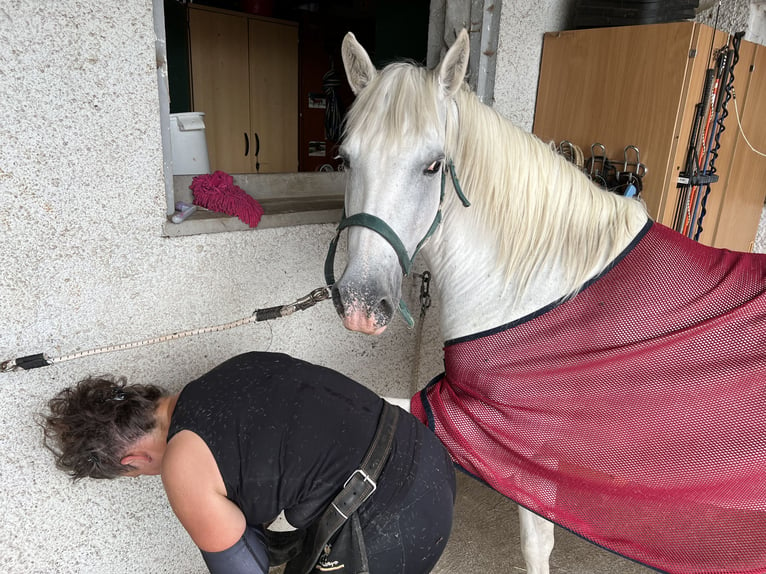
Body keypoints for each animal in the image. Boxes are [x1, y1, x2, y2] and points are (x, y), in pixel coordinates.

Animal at [332, 29, 766, 574]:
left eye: (433, 165)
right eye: (347, 160)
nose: (360, 303)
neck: (539, 285)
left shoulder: (515, 442)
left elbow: (536, 544)